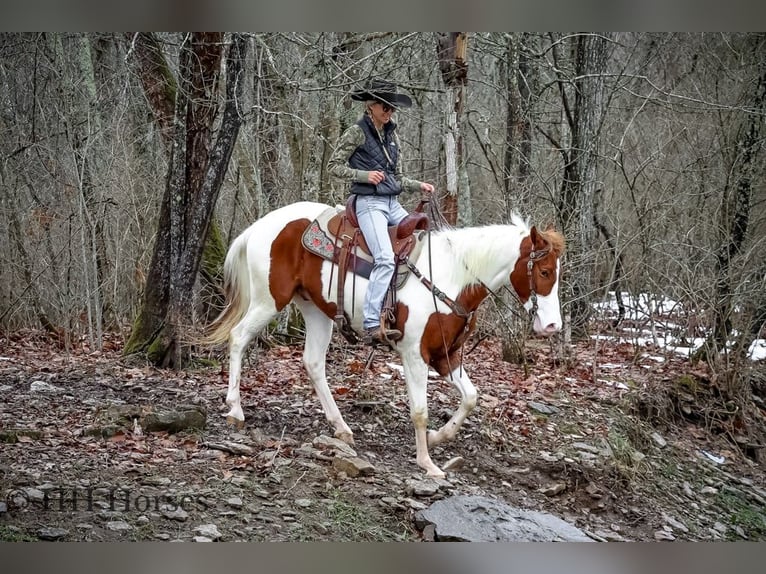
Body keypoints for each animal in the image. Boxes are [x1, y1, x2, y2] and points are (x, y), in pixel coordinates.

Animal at [204, 201, 565, 478]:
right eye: (544, 272)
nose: (552, 325)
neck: (451, 276)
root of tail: (260, 226)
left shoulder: (447, 355)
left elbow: (471, 397)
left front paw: (437, 437)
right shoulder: (415, 356)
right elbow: (419, 410)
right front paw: (427, 463)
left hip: (316, 311)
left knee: (313, 363)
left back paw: (341, 426)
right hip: (269, 301)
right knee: (238, 338)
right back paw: (235, 410)